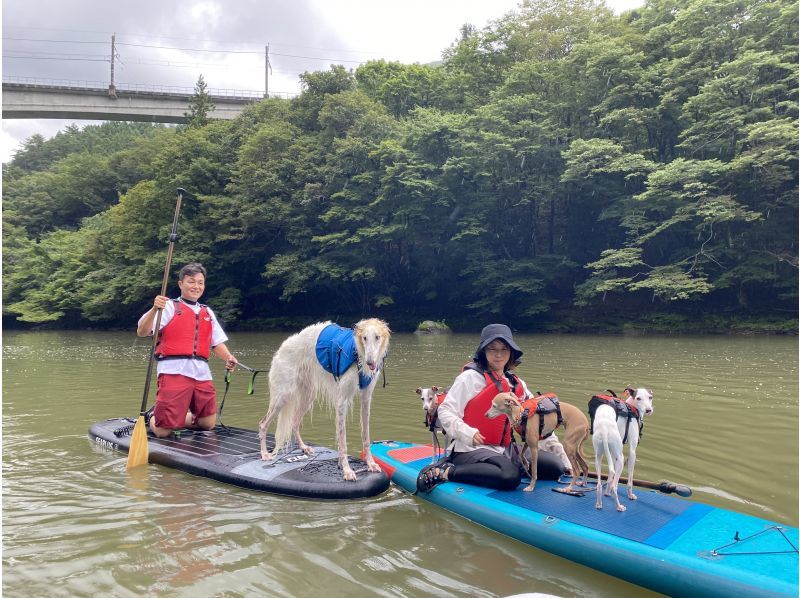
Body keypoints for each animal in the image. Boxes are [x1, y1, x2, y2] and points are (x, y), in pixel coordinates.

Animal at [260, 318, 390, 482]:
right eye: (364, 338)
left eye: (377, 337)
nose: (370, 363)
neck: (357, 354)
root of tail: (281, 349)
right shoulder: (342, 401)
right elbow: (342, 441)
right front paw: (347, 470)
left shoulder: (366, 399)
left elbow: (366, 437)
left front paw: (371, 464)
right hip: (283, 396)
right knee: (263, 424)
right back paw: (264, 454)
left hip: (308, 395)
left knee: (294, 422)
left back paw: (303, 447)